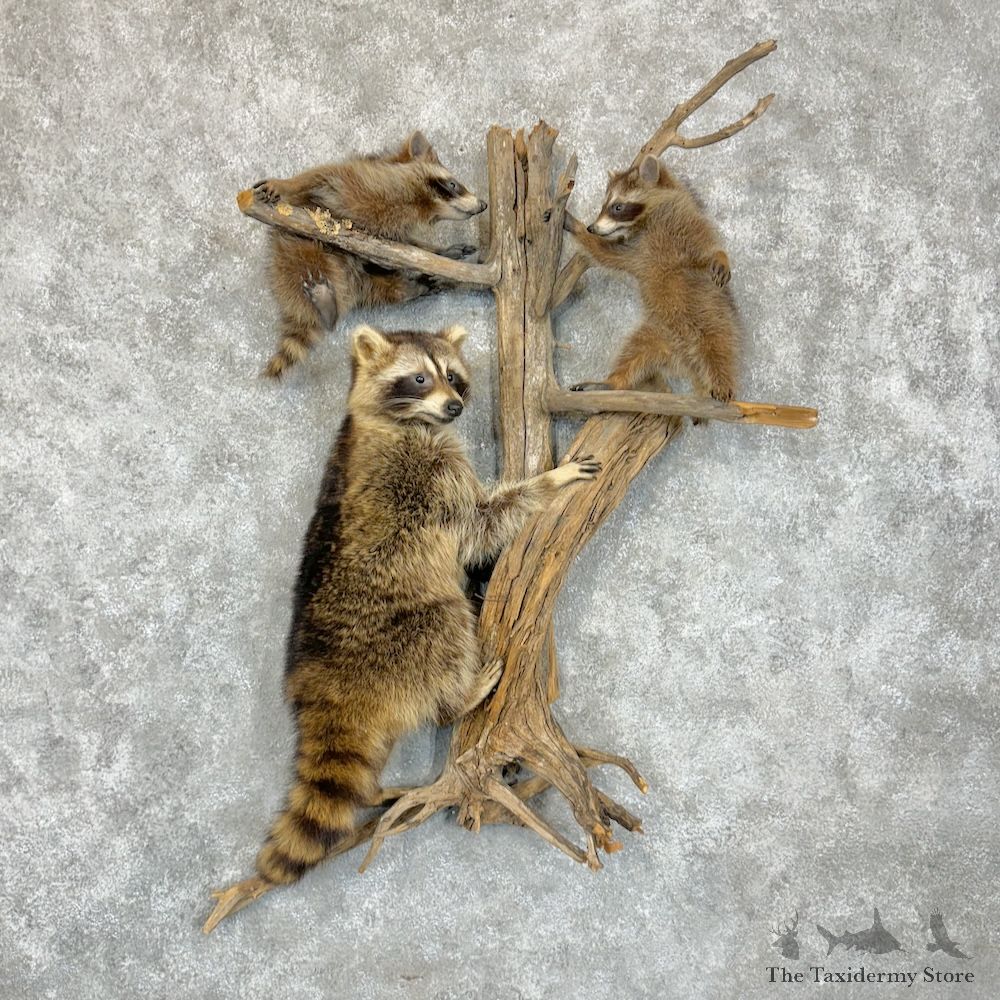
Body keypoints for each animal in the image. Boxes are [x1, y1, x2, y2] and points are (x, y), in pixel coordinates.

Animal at [252, 132, 487, 378]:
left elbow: (411, 248)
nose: (483, 204)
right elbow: (317, 176)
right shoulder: (354, 176)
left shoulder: (395, 232)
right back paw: (326, 304)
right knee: (310, 261)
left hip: (358, 280)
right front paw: (284, 183)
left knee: (378, 289)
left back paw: (413, 288)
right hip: (294, 250)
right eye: (453, 184)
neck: (420, 205)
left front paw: (440, 252)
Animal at [254, 324, 600, 886]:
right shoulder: (431, 477)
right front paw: (548, 482)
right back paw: (460, 694)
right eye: (419, 379)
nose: (456, 406)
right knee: (445, 623)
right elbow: (479, 524)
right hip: (405, 632)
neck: (408, 422)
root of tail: (328, 685)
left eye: (453, 376)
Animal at [567, 154, 739, 403]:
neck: (647, 223)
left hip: (713, 315)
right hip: (656, 332)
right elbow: (606, 253)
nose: (591, 227)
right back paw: (612, 382)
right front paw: (575, 226)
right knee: (634, 352)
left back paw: (722, 381)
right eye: (603, 205)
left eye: (617, 206)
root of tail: (685, 362)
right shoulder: (637, 254)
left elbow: (707, 247)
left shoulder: (685, 224)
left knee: (719, 346)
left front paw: (720, 256)